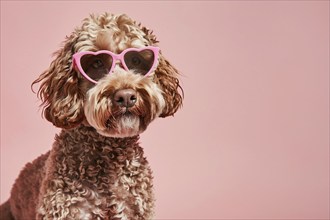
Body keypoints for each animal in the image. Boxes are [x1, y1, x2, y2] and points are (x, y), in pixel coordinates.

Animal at [0, 12, 182, 219]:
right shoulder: (68, 209)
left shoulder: (134, 209)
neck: (108, 156)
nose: (126, 97)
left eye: (136, 60)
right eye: (96, 62)